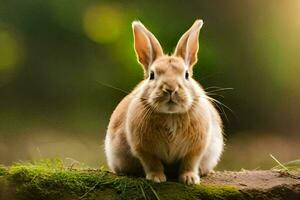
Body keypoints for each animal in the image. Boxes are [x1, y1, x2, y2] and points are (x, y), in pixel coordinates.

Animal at [104, 19, 224, 185]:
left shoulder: (196, 149)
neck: (170, 115)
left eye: (186, 75)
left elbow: (190, 163)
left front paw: (190, 179)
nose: (170, 89)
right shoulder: (144, 150)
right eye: (152, 75)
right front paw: (157, 178)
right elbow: (152, 163)